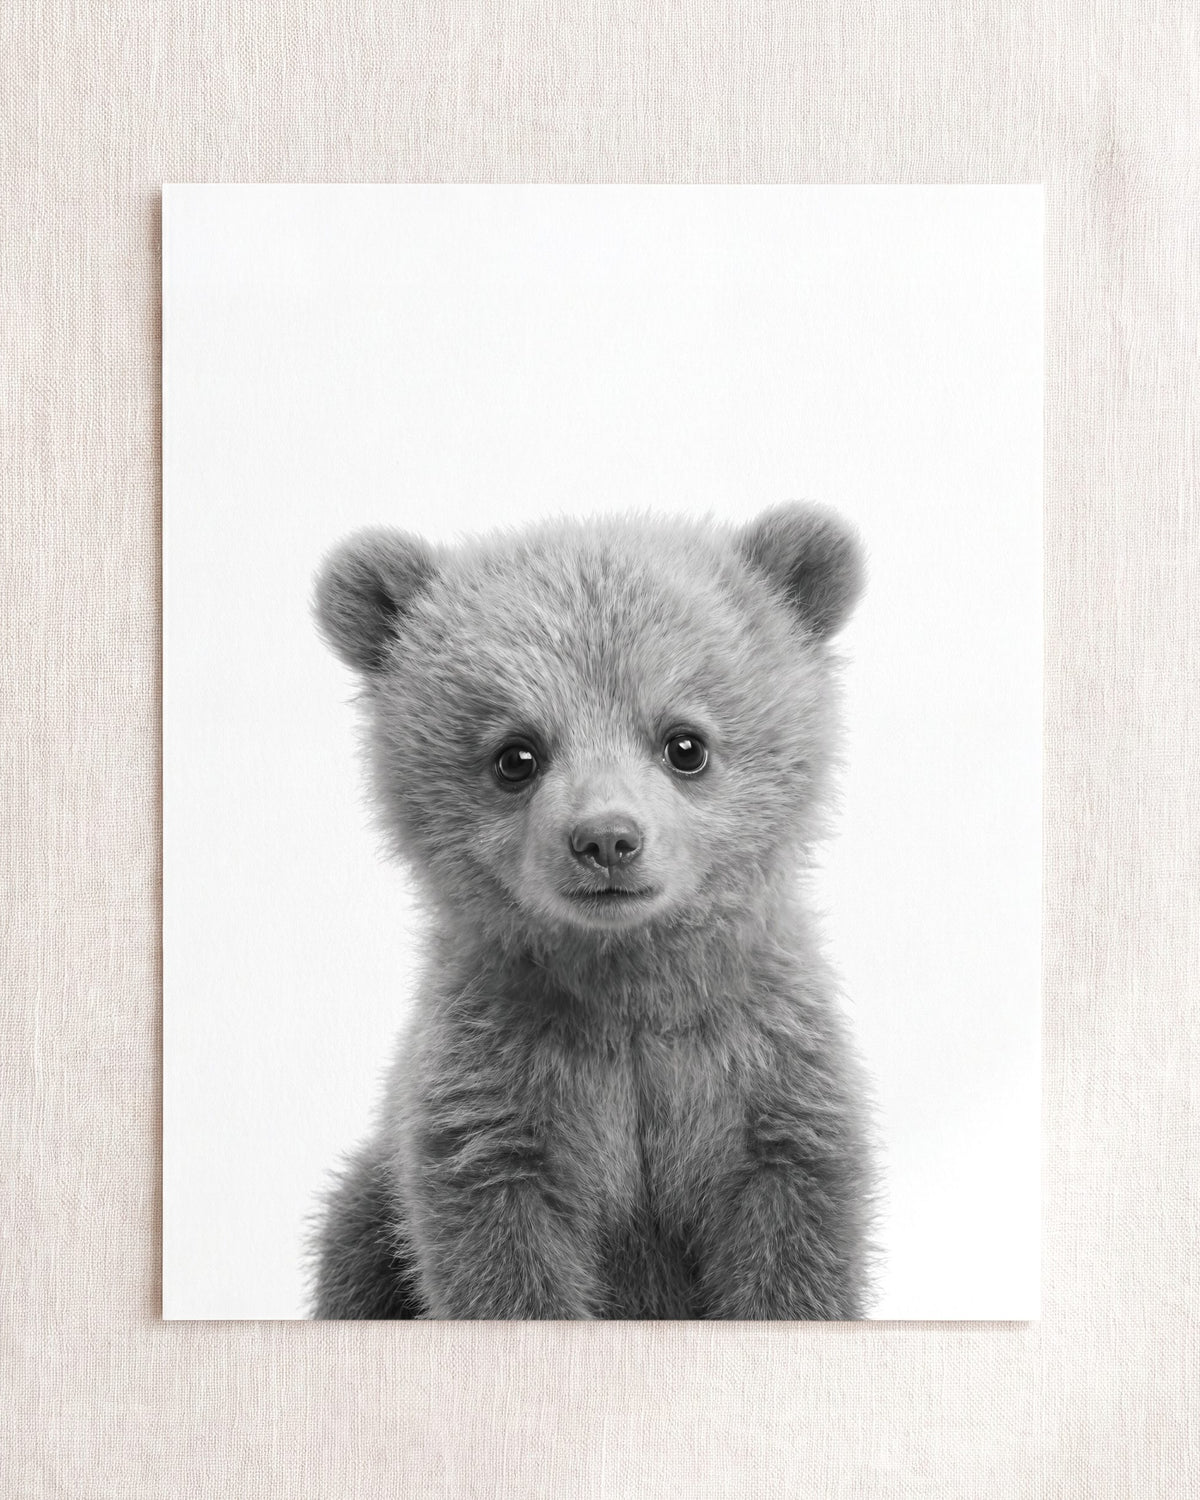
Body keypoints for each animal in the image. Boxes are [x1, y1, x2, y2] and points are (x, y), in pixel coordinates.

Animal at [309, 502, 876, 1320]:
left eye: (685, 743)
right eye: (516, 755)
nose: (607, 840)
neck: (627, 986)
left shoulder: (765, 1079)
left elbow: (793, 1250)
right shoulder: (497, 1098)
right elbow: (504, 1266)